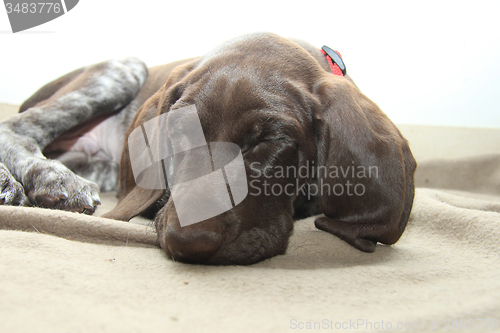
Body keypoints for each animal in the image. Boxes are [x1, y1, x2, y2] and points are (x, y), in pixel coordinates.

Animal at [0, 32, 416, 264]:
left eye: (270, 141)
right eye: (178, 131)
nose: (187, 242)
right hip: (123, 68)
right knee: (14, 128)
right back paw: (43, 181)